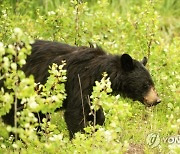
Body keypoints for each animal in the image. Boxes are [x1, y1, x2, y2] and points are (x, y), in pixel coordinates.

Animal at [1, 40, 161, 139]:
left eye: (152, 84)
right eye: (146, 85)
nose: (157, 100)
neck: (102, 72)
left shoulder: (93, 92)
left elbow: (96, 113)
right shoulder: (81, 82)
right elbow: (76, 113)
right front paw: (81, 138)